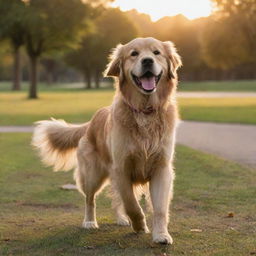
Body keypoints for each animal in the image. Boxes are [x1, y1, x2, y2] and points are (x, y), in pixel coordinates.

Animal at [32, 36, 182, 244]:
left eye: (156, 52)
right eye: (134, 54)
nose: (147, 61)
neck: (144, 111)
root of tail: (91, 122)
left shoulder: (161, 168)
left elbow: (159, 208)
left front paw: (161, 235)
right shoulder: (121, 167)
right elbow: (131, 203)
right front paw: (140, 225)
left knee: (115, 199)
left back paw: (121, 219)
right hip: (93, 174)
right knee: (90, 199)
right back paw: (90, 222)